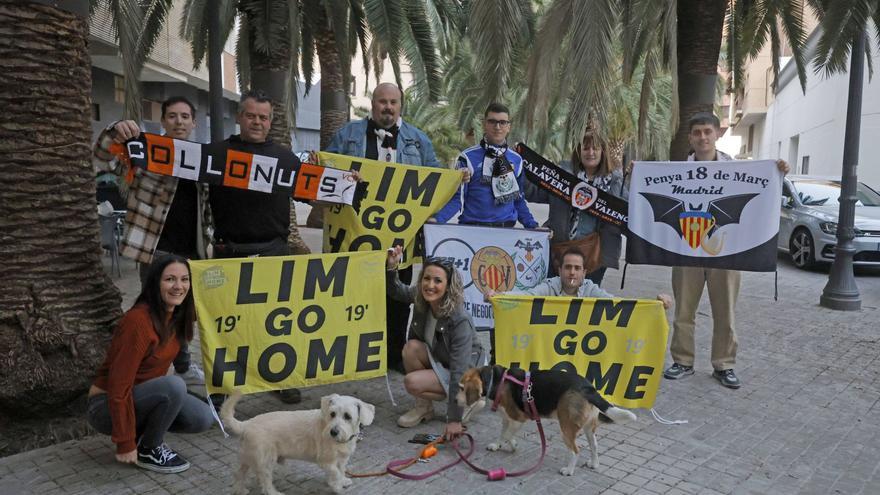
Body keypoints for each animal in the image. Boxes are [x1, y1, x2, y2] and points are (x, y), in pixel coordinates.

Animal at [220, 394, 374, 494]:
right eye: (332, 414)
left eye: (348, 416)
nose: (333, 432)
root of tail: (246, 424)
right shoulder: (326, 461)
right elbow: (335, 473)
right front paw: (336, 486)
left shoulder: (342, 460)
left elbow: (341, 470)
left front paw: (342, 481)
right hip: (266, 461)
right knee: (265, 481)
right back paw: (274, 493)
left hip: (247, 457)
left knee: (238, 474)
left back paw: (240, 490)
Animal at [458, 364, 636, 476]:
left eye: (462, 388)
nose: (454, 400)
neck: (496, 380)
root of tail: (588, 388)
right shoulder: (506, 419)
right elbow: (503, 434)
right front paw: (497, 445)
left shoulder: (518, 419)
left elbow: (508, 435)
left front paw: (513, 445)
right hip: (588, 427)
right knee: (594, 446)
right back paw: (594, 464)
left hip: (566, 428)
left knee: (575, 450)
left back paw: (568, 470)